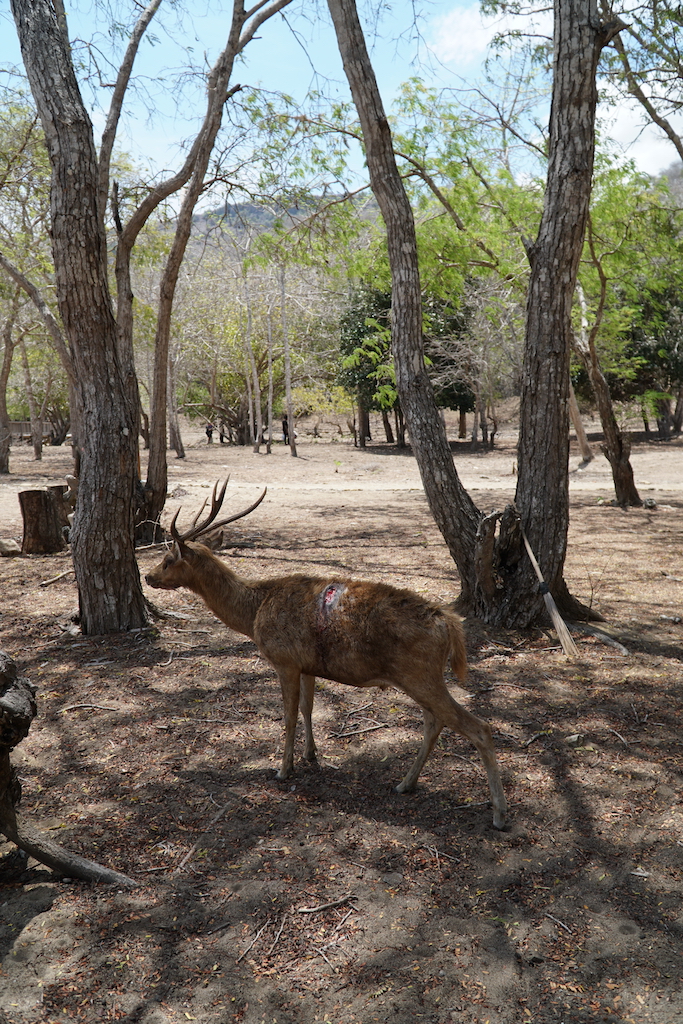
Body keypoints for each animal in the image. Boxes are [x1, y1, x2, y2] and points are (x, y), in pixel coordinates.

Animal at [144, 481, 507, 831]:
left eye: (168, 559)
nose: (148, 576)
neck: (253, 613)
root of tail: (449, 623)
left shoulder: (284, 660)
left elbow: (288, 715)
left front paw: (283, 769)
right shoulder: (307, 665)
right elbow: (308, 708)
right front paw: (310, 754)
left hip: (420, 673)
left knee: (478, 727)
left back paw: (499, 814)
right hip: (421, 677)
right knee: (435, 722)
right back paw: (405, 783)